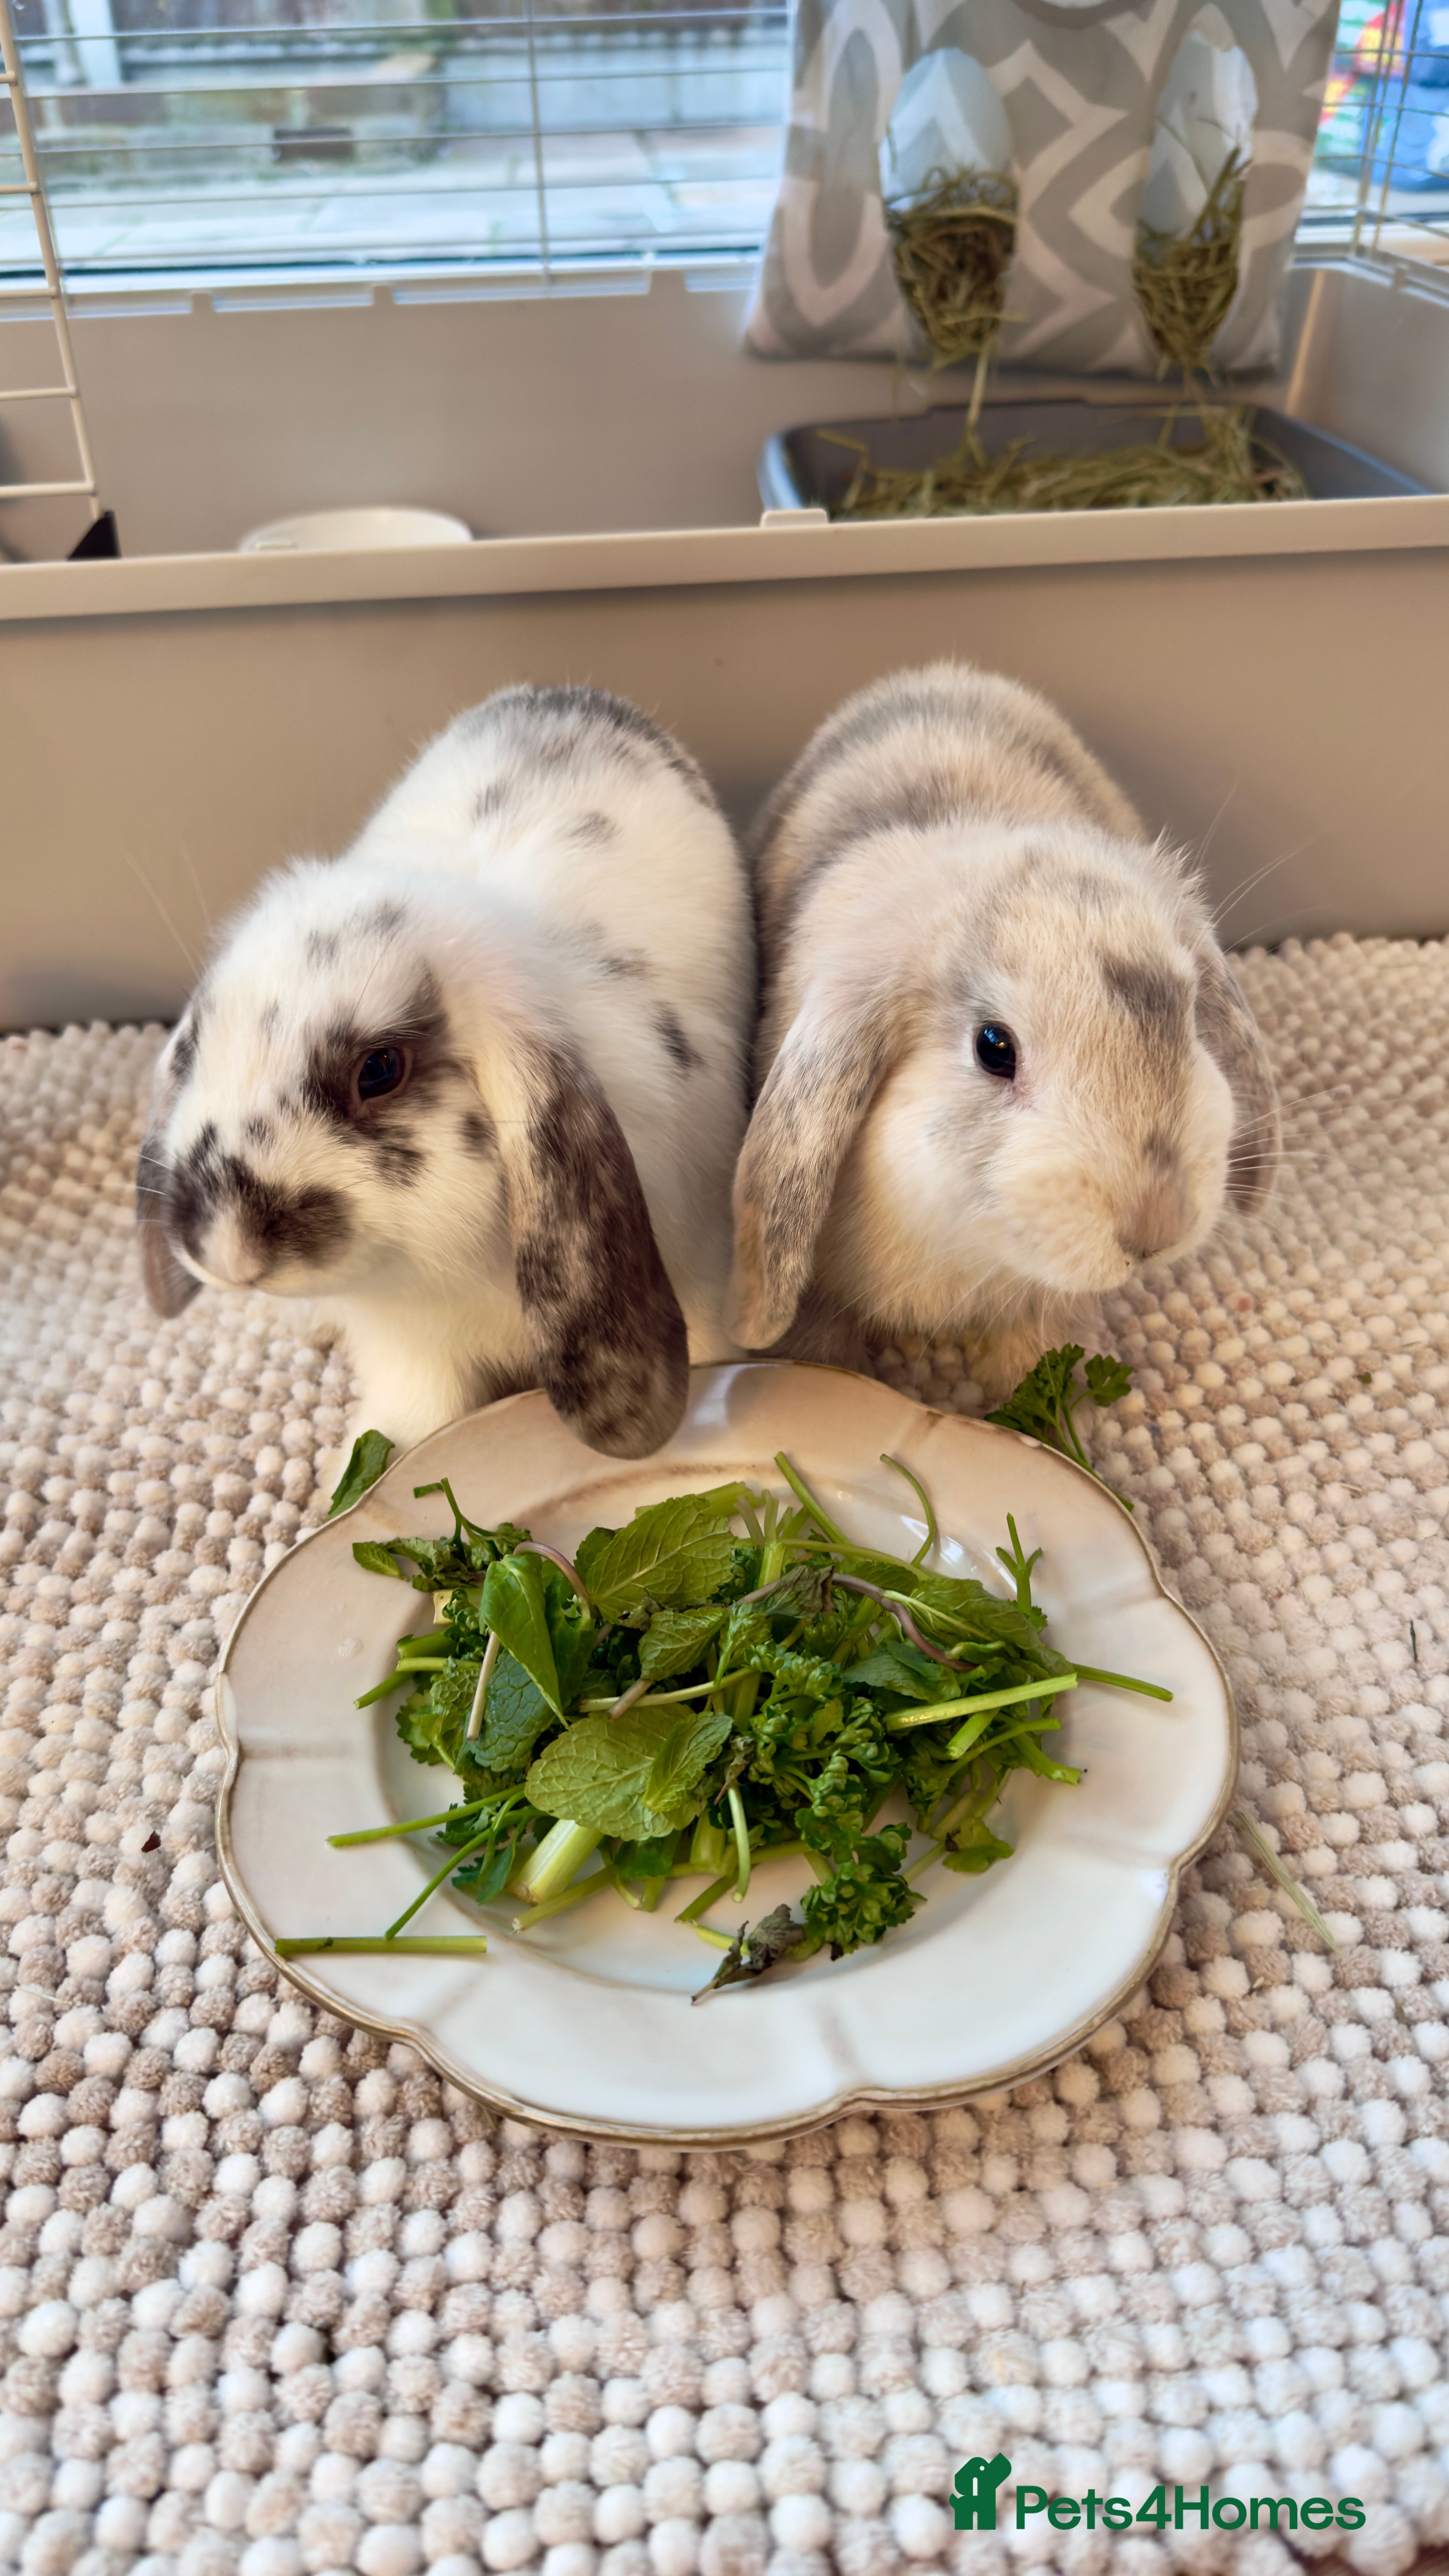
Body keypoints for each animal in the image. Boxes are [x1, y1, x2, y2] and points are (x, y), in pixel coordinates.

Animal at [137, 683, 754, 1462]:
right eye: (194, 1041)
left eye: (379, 1071)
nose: (223, 1252)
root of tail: (566, 691)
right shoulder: (411, 1352)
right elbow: (413, 1421)